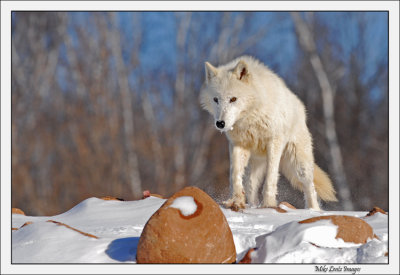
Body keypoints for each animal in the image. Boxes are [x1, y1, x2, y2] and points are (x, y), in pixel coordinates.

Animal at [200, 56, 338, 211]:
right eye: (215, 99)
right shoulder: (237, 145)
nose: (220, 123)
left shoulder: (274, 143)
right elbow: (235, 175)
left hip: (299, 162)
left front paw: (268, 204)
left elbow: (271, 177)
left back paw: (313, 210)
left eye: (233, 99)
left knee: (310, 186)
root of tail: (301, 107)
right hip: (256, 164)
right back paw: (252, 205)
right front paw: (235, 201)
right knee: (251, 185)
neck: (251, 117)